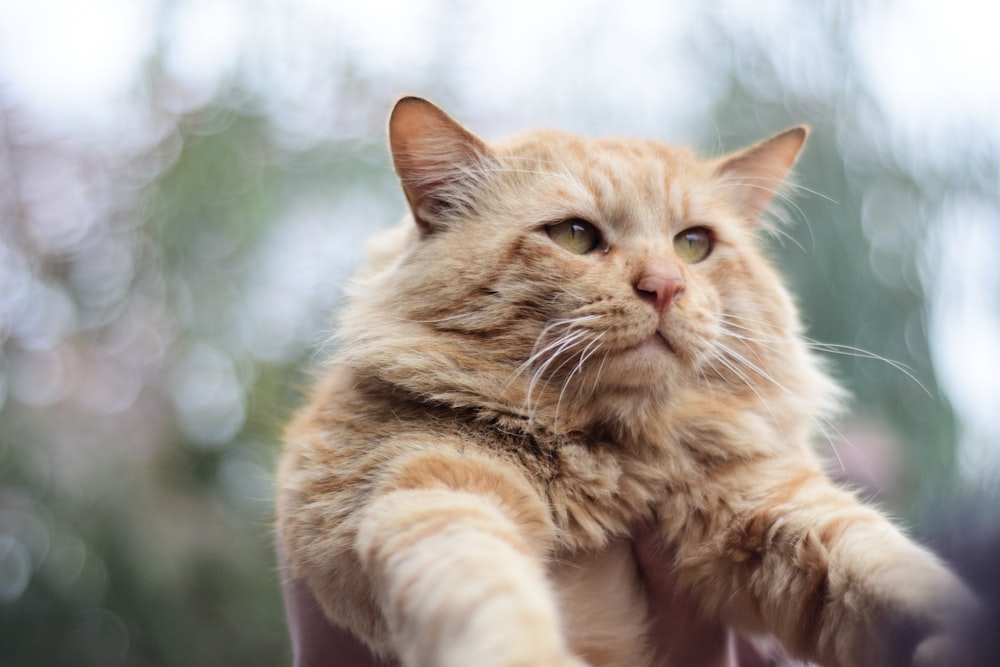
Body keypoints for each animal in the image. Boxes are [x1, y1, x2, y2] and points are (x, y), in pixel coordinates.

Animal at [276, 95, 976, 667]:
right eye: (575, 236)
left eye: (694, 244)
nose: (663, 286)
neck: (613, 455)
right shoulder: (430, 489)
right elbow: (486, 595)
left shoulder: (775, 505)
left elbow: (886, 567)